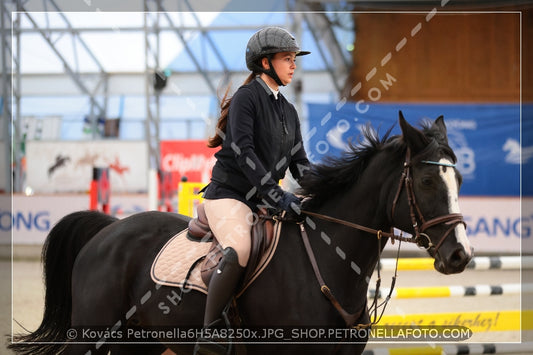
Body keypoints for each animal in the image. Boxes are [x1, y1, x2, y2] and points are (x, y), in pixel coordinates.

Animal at [9, 112, 474, 355]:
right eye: (427, 182)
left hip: (139, 340)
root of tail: (108, 231)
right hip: (92, 334)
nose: (461, 256)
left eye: (459, 180)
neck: (327, 261)